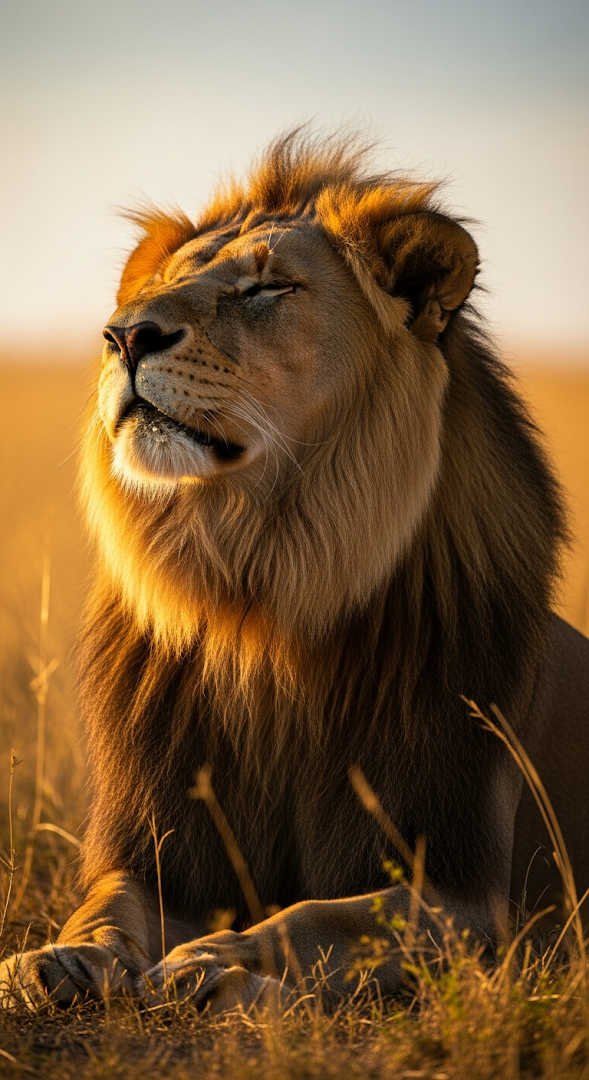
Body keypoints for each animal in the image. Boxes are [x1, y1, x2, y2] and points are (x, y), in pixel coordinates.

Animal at [2, 129, 589, 1012]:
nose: (123, 336)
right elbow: (106, 904)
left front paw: (219, 964)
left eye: (268, 287)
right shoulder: (161, 852)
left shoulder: (468, 898)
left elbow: (323, 916)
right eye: (164, 287)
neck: (264, 589)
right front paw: (62, 960)